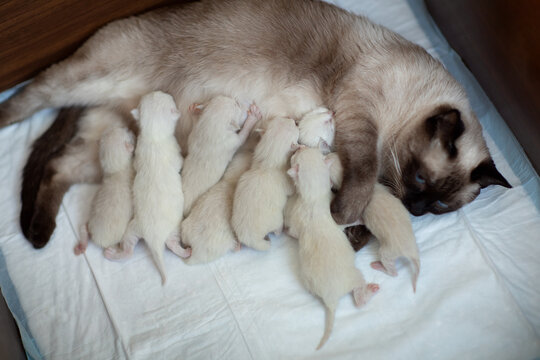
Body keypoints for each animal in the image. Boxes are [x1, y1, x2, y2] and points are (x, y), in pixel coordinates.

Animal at [74, 126, 135, 256]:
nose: (127, 127)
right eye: (126, 132)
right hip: (119, 237)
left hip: (90, 222)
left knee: (83, 227)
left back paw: (82, 244)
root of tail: (97, 239)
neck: (116, 170)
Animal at [104, 90, 191, 284]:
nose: (163, 91)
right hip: (174, 228)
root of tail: (154, 239)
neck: (153, 136)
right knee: (172, 244)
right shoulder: (173, 151)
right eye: (167, 96)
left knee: (129, 250)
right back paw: (185, 251)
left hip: (132, 229)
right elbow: (180, 163)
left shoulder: (138, 153)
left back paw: (112, 253)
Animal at [284, 146, 378, 348]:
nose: (299, 146)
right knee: (358, 294)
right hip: (354, 276)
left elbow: (295, 232)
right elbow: (295, 232)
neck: (314, 197)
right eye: (296, 156)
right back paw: (368, 292)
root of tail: (332, 300)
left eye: (306, 151)